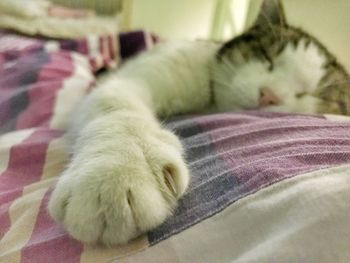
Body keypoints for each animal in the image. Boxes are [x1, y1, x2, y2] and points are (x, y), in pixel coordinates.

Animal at [47, 0, 350, 248]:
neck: (208, 103)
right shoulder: (132, 77)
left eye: (312, 94)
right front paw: (117, 170)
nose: (269, 95)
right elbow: (118, 104)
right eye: (267, 57)